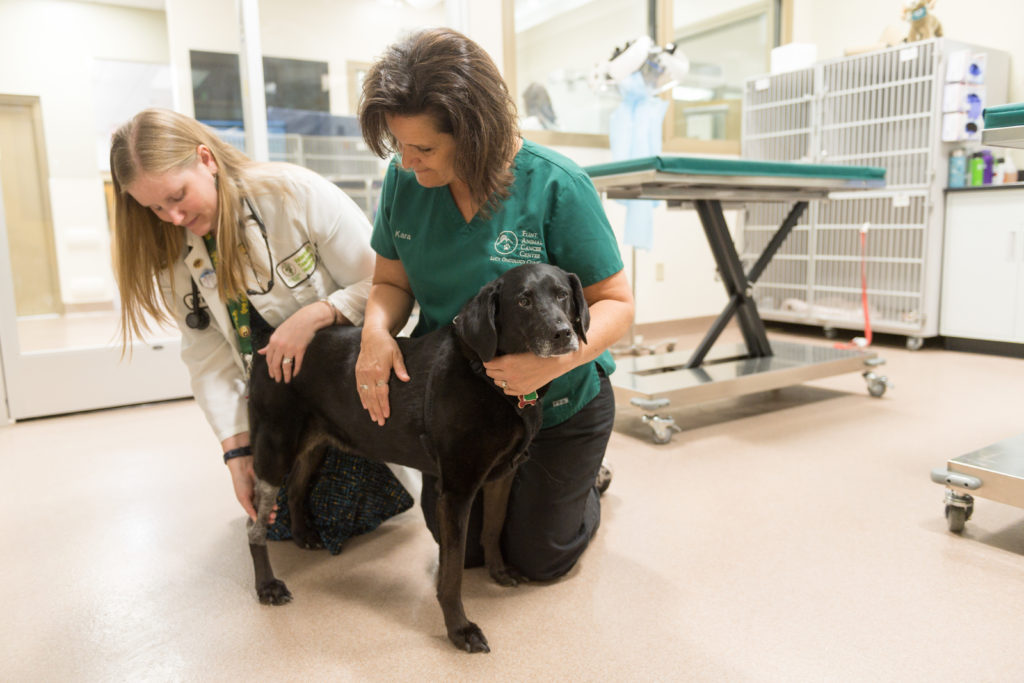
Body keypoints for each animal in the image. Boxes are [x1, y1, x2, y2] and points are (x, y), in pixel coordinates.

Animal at [243, 262, 589, 651]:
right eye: (524, 300)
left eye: (562, 295)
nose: (563, 333)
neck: (487, 379)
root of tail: (269, 346)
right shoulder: (455, 493)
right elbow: (452, 573)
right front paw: (460, 630)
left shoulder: (502, 475)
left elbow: (492, 529)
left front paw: (499, 572)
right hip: (274, 449)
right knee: (254, 525)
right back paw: (267, 586)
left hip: (316, 444)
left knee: (297, 489)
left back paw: (304, 536)